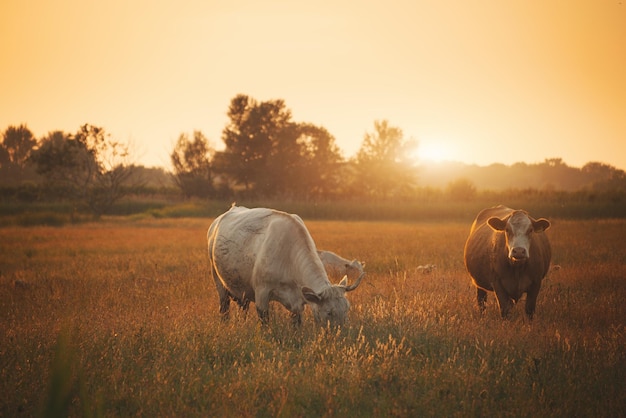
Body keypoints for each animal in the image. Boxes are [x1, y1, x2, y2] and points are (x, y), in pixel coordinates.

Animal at [207, 206, 364, 326]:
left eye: (347, 308)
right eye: (329, 312)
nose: (342, 333)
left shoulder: (297, 303)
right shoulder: (261, 294)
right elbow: (265, 324)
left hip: (242, 290)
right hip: (218, 281)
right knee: (224, 308)